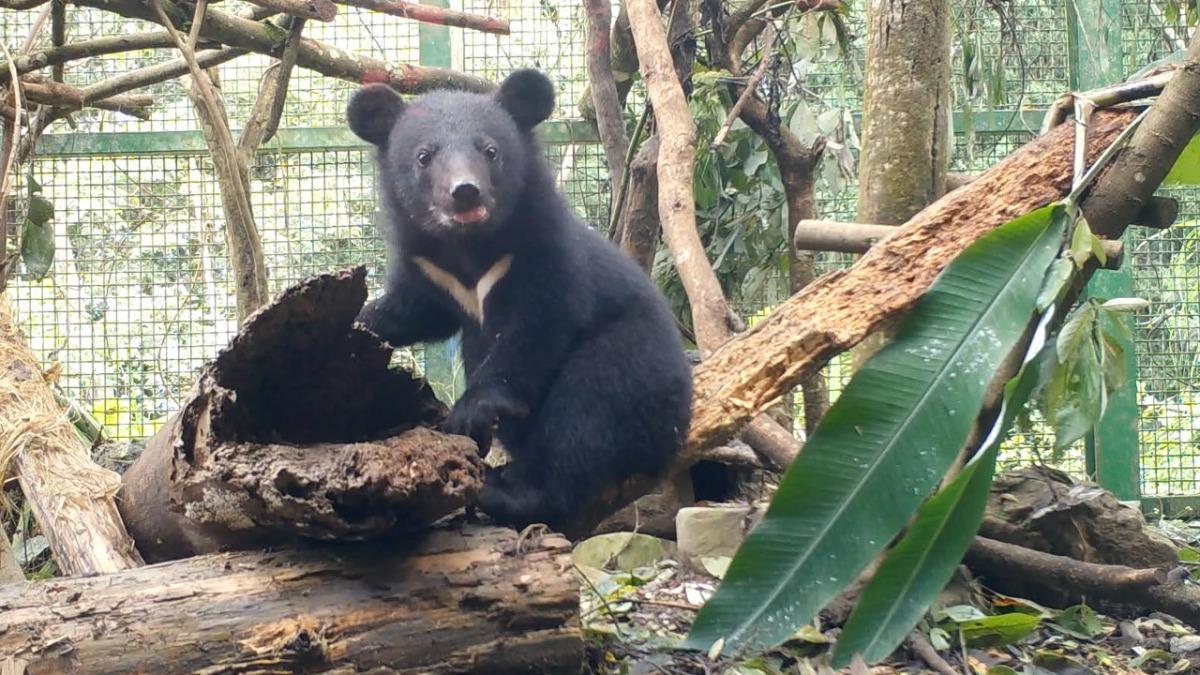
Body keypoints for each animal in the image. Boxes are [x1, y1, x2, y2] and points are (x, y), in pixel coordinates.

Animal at [346, 68, 694, 533]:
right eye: (424, 156)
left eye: (490, 150)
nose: (465, 192)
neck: (470, 248)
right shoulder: (428, 268)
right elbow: (416, 311)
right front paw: (360, 322)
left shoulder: (540, 253)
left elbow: (534, 330)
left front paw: (470, 412)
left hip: (638, 362)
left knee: (588, 411)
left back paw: (508, 491)